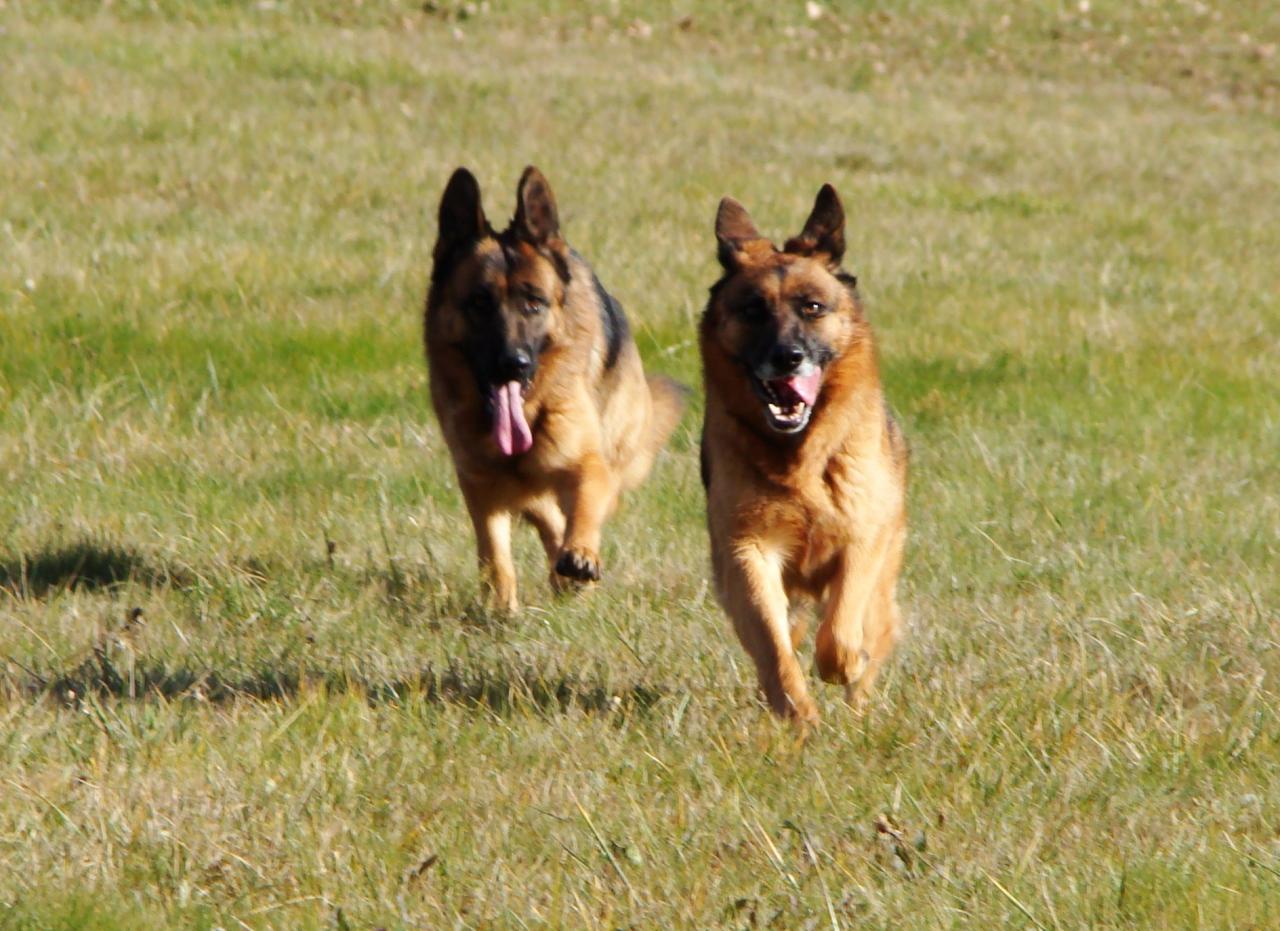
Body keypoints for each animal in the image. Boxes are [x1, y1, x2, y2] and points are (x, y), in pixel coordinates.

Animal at [424, 165, 686, 612]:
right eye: (479, 302)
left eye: (534, 303)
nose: (513, 363)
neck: (528, 414)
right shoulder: (480, 483)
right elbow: (495, 553)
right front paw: (502, 607)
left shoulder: (587, 463)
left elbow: (583, 510)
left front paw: (580, 555)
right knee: (543, 512)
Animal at [701, 185, 911, 722]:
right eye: (753, 310)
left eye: (812, 307)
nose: (787, 357)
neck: (801, 460)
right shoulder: (748, 552)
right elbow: (774, 646)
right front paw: (797, 710)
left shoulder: (861, 539)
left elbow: (839, 631)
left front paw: (845, 665)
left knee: (870, 627)